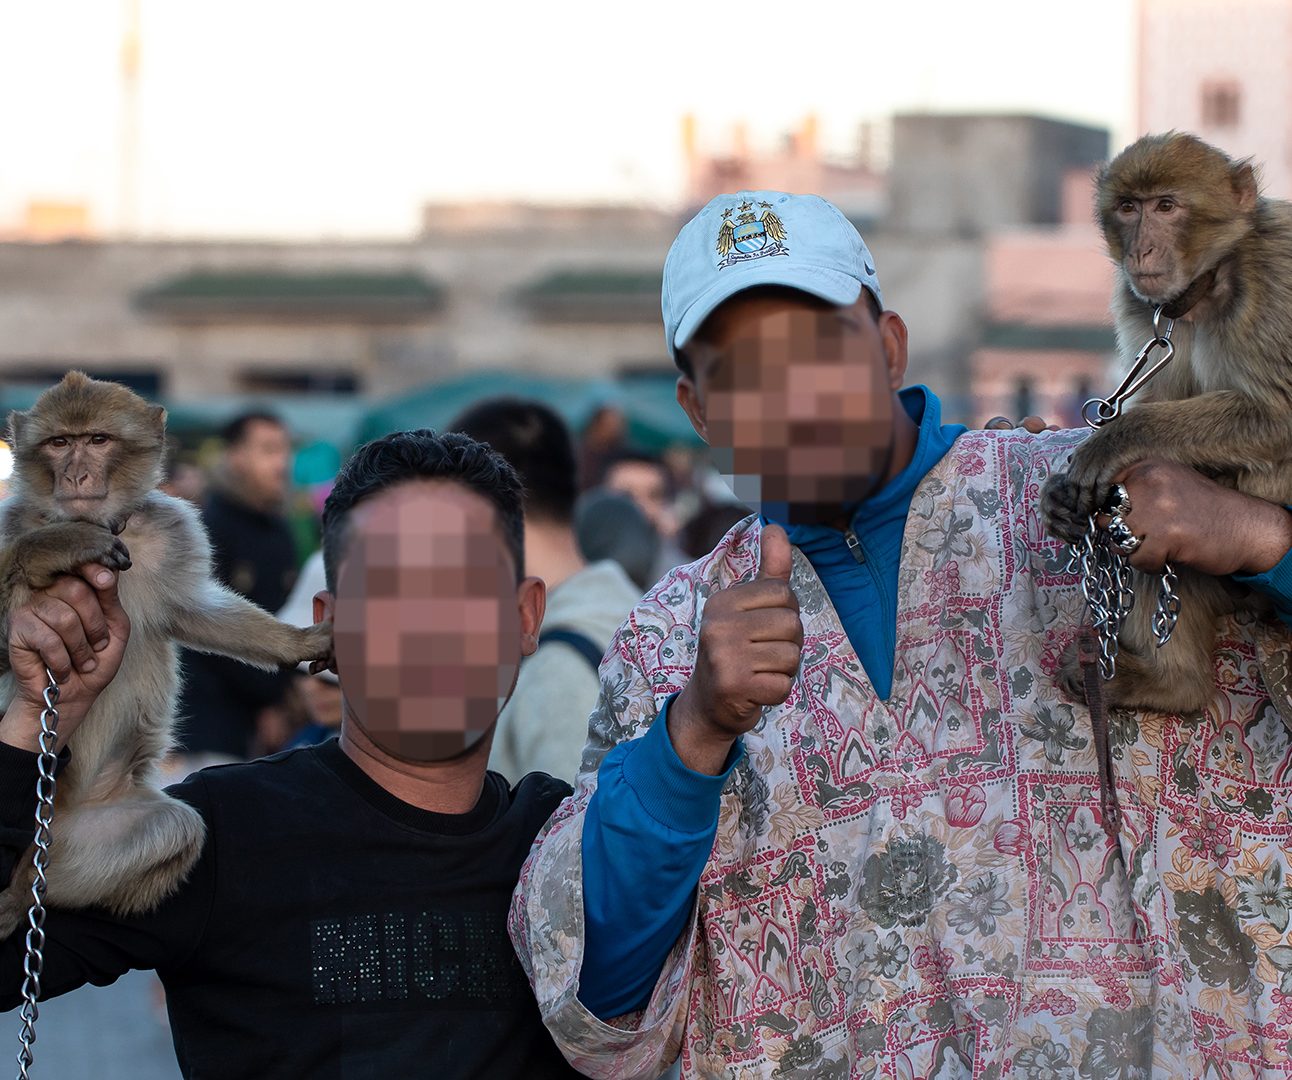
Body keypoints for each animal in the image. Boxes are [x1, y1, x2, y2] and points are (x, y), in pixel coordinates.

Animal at [0, 374, 333, 935]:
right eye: (59, 443)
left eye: (97, 440)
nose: (76, 475)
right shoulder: (12, 521)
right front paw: (54, 546)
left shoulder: (173, 530)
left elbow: (195, 610)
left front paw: (296, 641)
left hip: (76, 843)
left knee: (176, 827)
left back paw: (19, 897)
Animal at [1038, 130, 1292, 713]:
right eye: (1130, 208)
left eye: (1167, 207)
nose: (1141, 250)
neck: (1207, 289)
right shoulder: (1139, 307)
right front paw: (1059, 499)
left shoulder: (1274, 283)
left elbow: (1276, 417)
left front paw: (1112, 442)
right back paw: (1170, 682)